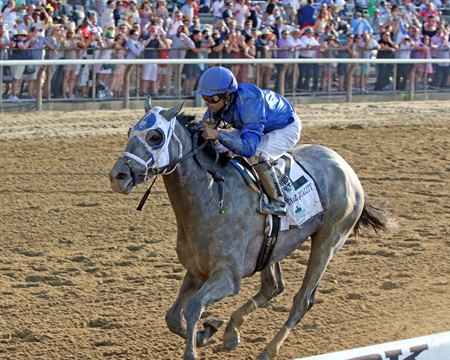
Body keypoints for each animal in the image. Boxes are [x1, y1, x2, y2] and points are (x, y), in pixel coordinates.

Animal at [108, 100, 390, 358]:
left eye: (155, 136)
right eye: (130, 131)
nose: (117, 176)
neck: (211, 197)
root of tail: (346, 168)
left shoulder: (227, 276)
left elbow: (193, 308)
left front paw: (196, 345)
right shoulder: (197, 271)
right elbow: (173, 317)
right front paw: (208, 331)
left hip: (328, 241)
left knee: (302, 301)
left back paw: (268, 349)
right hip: (271, 247)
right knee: (272, 287)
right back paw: (232, 330)